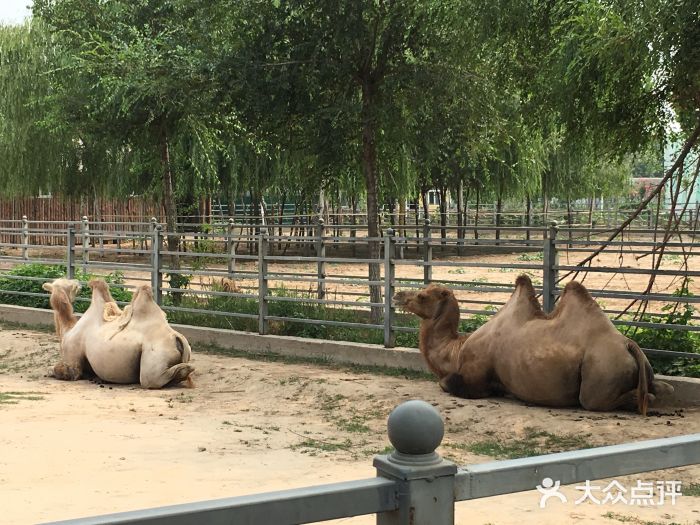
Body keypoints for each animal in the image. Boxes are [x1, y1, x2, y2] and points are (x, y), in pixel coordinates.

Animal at [42, 278, 194, 384]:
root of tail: (176, 336)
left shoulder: (72, 358)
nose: (78, 283)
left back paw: (186, 369)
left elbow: (62, 370)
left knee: (150, 379)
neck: (67, 330)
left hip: (154, 362)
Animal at [394, 274, 672, 414]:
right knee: (662, 388)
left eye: (422, 296)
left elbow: (446, 383)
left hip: (601, 373)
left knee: (601, 399)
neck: (457, 350)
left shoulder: (474, 375)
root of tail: (629, 346)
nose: (398, 294)